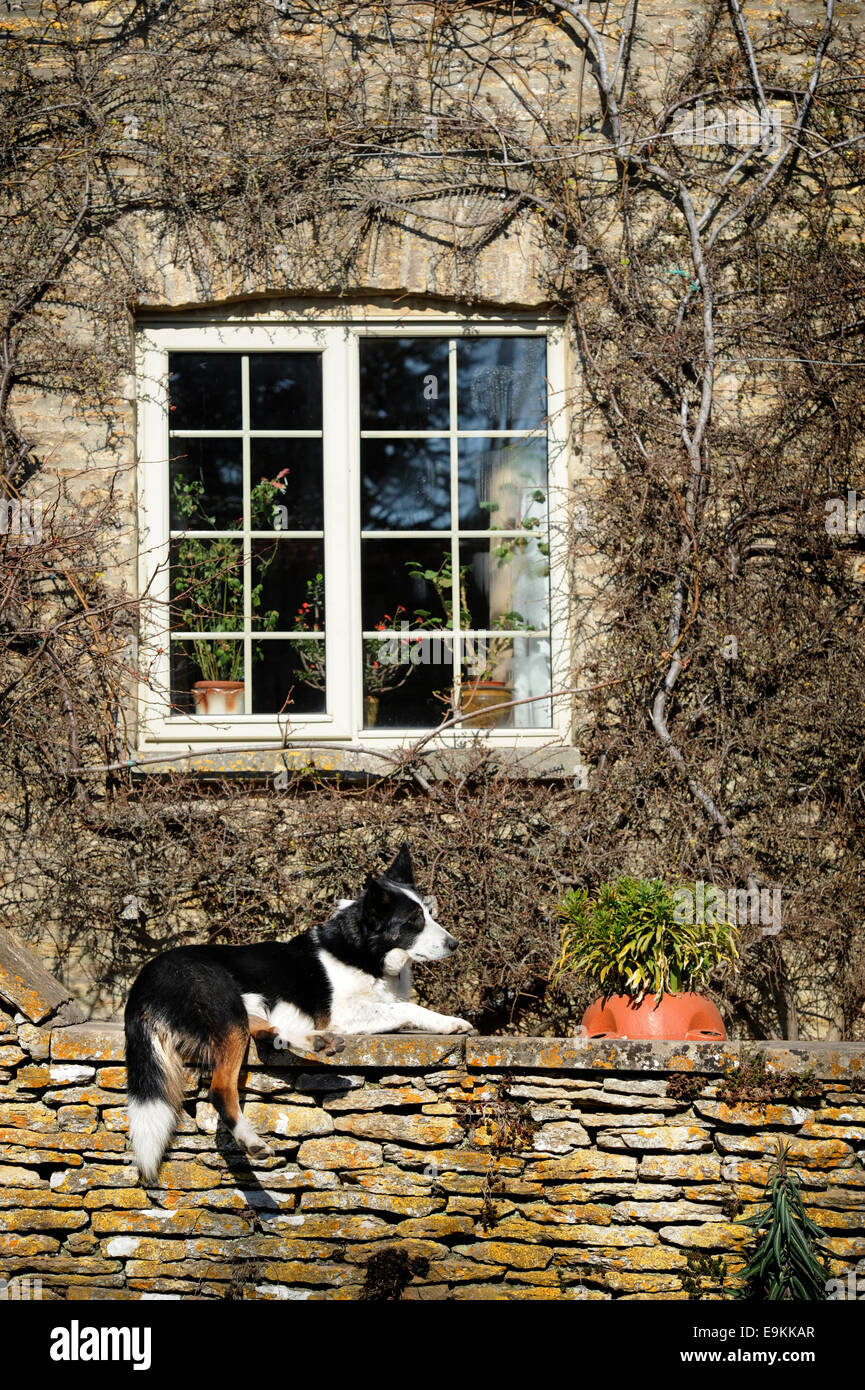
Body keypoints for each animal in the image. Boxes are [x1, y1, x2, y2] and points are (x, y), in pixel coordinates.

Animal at [125, 845, 470, 1184]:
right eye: (413, 921)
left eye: (428, 914)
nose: (455, 944)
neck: (361, 950)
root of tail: (141, 984)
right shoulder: (340, 1015)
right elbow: (407, 1007)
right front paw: (449, 1022)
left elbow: (401, 1005)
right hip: (222, 997)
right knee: (221, 1089)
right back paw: (251, 1140)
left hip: (244, 1004)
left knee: (265, 1031)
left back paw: (316, 1042)